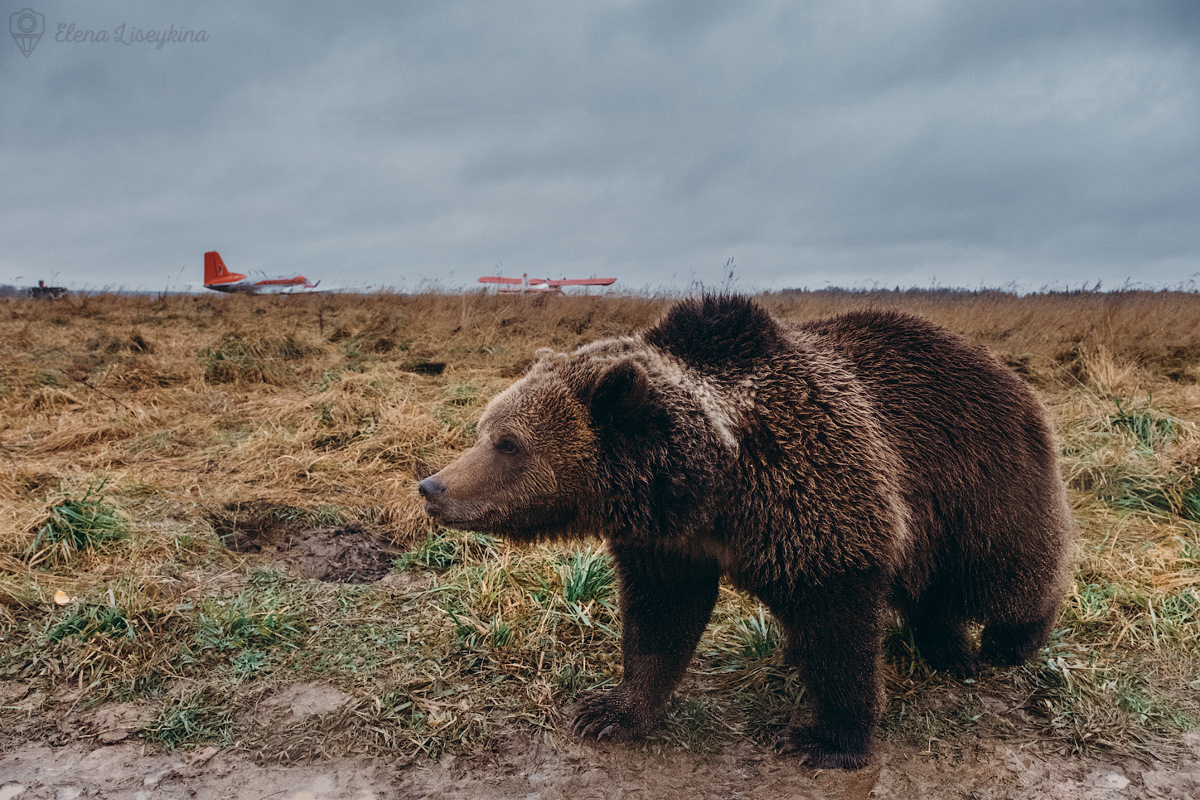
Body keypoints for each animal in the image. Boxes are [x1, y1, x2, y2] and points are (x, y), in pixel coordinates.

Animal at [417, 293, 1075, 767]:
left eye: (509, 443)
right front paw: (608, 711)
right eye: (484, 429)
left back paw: (1009, 642)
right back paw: (946, 647)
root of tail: (1009, 377)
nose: (433, 487)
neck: (716, 486)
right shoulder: (669, 543)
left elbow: (837, 632)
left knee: (1008, 576)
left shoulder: (820, 500)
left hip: (980, 485)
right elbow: (659, 621)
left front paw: (828, 739)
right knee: (937, 594)